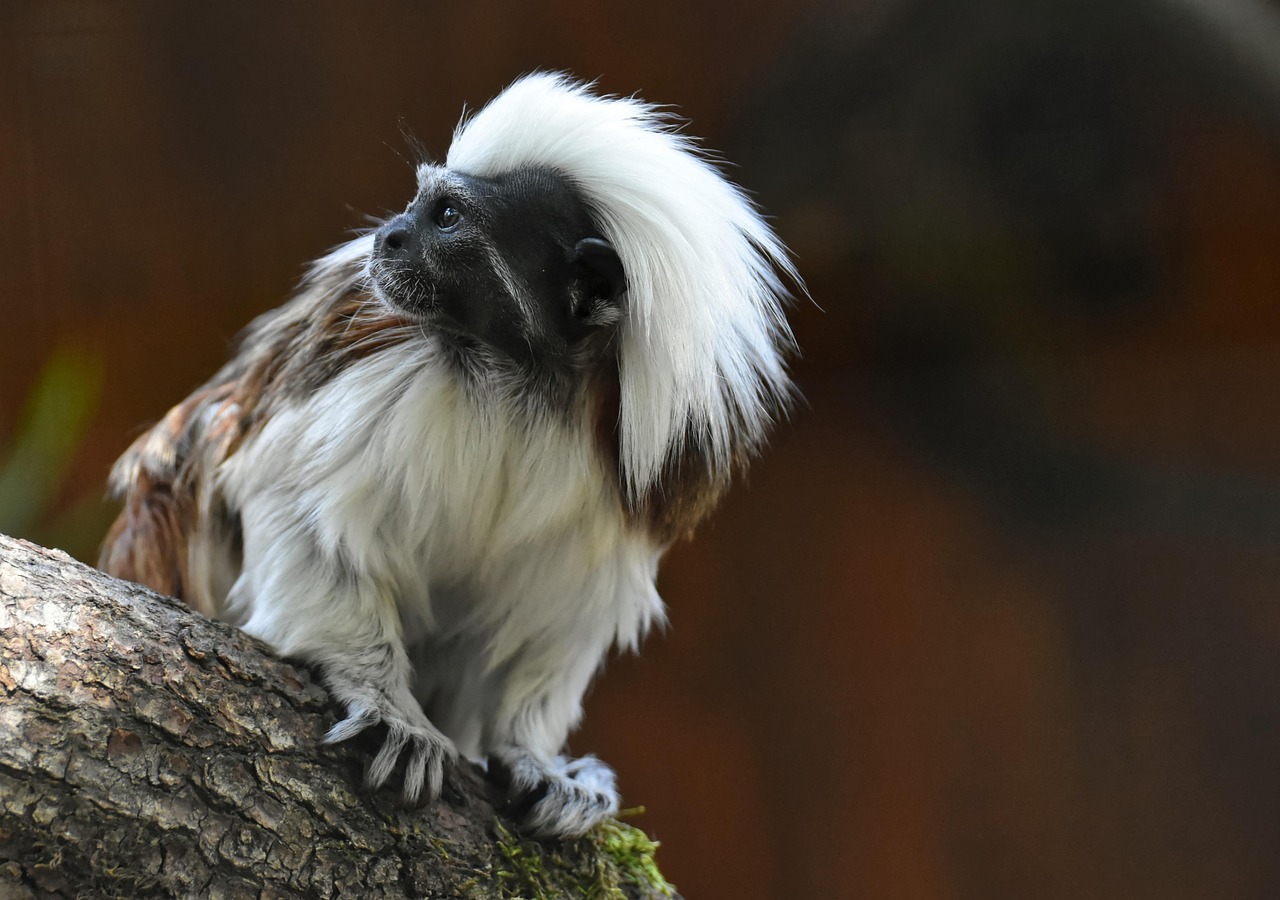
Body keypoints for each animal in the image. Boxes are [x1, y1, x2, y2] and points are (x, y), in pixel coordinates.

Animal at [100, 73, 798, 838]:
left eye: (449, 216)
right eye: (420, 203)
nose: (389, 234)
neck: (514, 373)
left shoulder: (623, 483)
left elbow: (554, 620)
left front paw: (536, 759)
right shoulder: (376, 362)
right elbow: (299, 507)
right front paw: (389, 709)